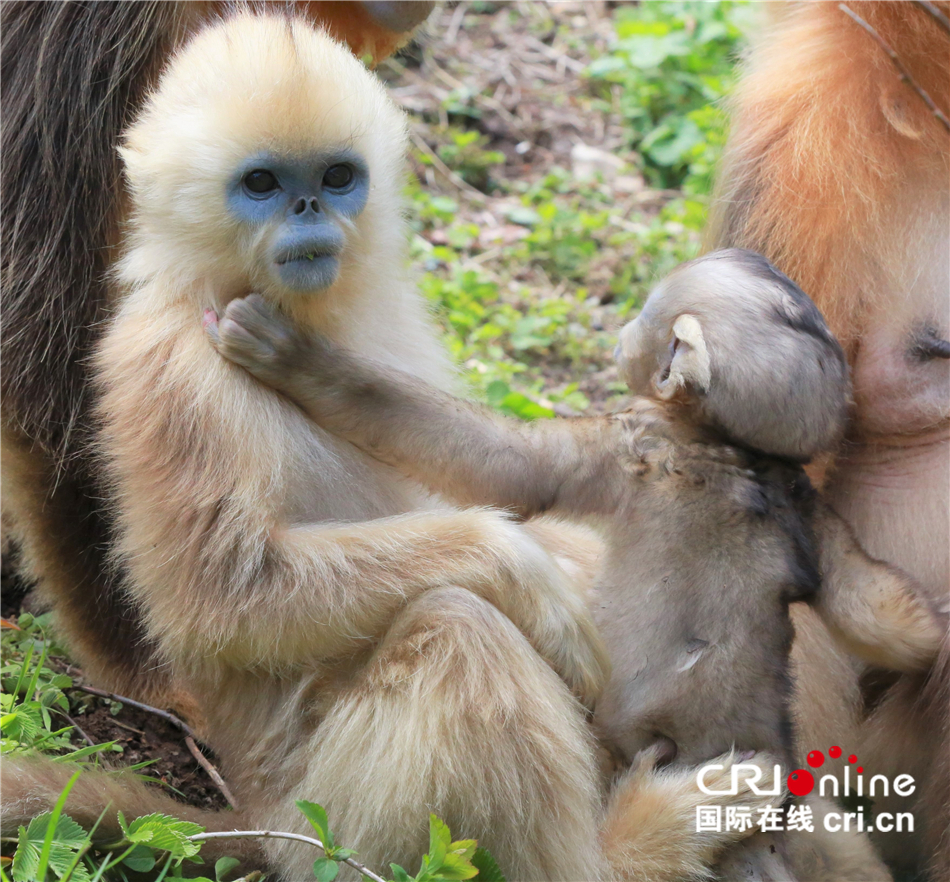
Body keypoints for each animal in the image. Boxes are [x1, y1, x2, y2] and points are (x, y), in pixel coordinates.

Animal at [208, 248, 944, 768]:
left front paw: (298, 359)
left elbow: (503, 468)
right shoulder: (804, 504)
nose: (620, 330)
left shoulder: (625, 444)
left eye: (647, 314)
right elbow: (873, 607)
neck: (726, 447)